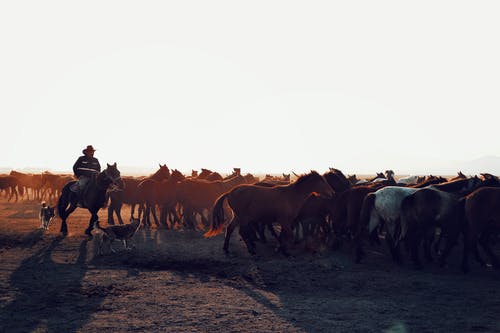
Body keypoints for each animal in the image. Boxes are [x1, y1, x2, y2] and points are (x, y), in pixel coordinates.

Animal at [205, 171, 334, 254]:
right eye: (322, 181)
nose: (332, 193)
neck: (291, 195)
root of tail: (230, 192)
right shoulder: (284, 221)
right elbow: (289, 235)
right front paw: (282, 249)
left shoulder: (287, 221)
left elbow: (284, 234)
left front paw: (280, 247)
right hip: (243, 218)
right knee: (242, 231)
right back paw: (251, 249)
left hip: (237, 216)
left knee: (230, 229)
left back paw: (226, 248)